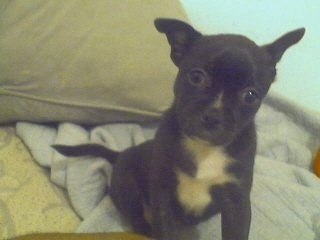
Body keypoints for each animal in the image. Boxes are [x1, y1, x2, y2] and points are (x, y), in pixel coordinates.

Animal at [54, 18, 304, 240]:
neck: (204, 149)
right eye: (196, 77)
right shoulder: (162, 192)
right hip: (127, 187)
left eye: (250, 96)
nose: (213, 116)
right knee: (138, 219)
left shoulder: (236, 202)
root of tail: (121, 153)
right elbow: (164, 229)